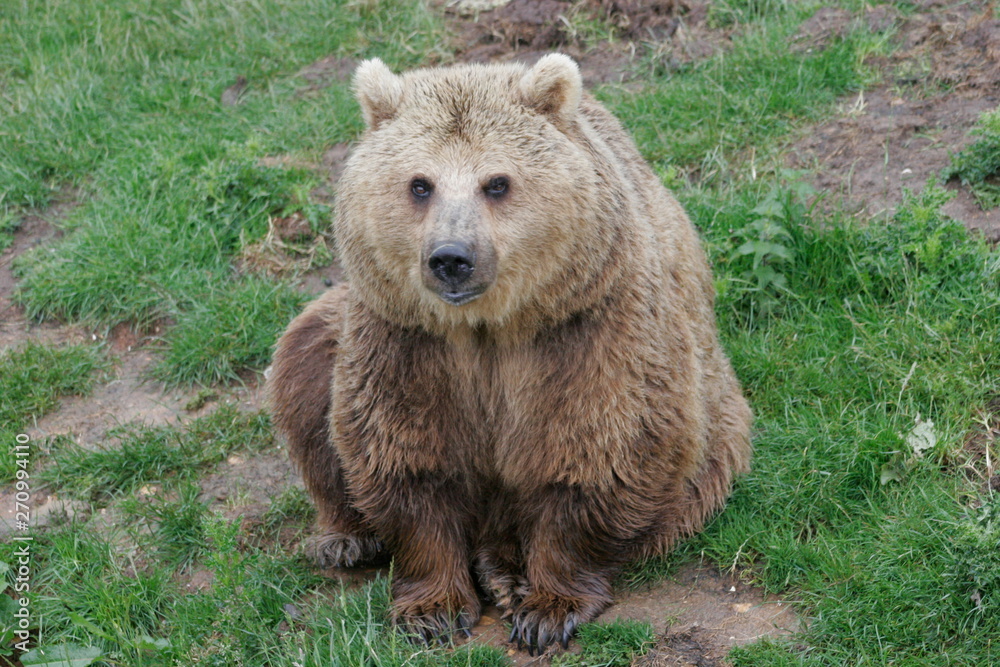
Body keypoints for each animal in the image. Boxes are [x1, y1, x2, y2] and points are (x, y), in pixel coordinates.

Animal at [267, 54, 752, 655]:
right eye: (420, 184)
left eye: (496, 182)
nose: (451, 258)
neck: (489, 326)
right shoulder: (406, 339)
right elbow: (406, 455)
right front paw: (432, 607)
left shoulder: (587, 327)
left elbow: (598, 448)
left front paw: (548, 607)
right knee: (304, 372)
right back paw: (347, 539)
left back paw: (506, 573)